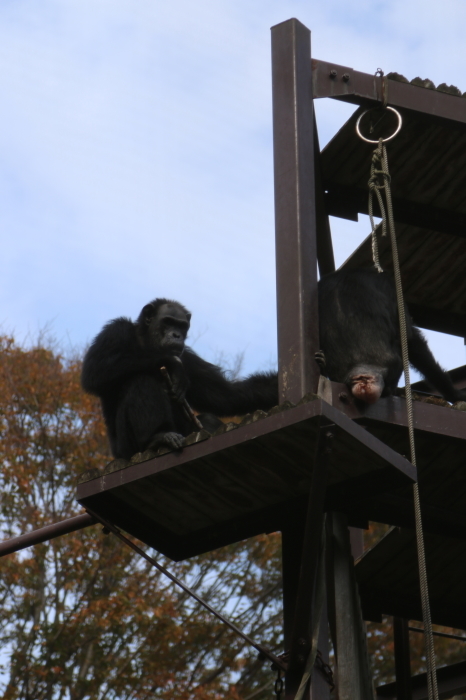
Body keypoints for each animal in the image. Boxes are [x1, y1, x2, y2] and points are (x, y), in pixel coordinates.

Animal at [81, 300, 278, 460]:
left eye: (182, 325)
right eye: (168, 321)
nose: (177, 335)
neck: (147, 341)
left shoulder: (190, 359)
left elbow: (226, 394)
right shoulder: (114, 331)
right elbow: (96, 370)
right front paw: (172, 363)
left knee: (208, 418)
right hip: (127, 448)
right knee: (141, 379)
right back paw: (157, 437)